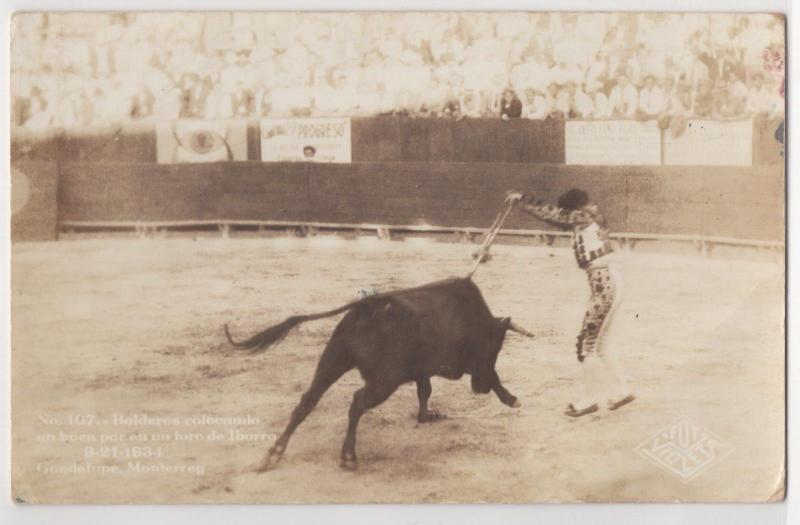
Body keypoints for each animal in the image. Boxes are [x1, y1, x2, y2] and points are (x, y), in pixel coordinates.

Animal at [223, 276, 532, 468]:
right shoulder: (456, 364)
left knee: (308, 400)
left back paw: (273, 454)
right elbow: (492, 375)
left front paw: (427, 416)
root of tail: (367, 305)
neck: (474, 320)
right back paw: (348, 456)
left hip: (333, 359)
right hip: (385, 380)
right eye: (496, 347)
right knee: (358, 402)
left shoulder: (423, 370)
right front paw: (511, 399)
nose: (479, 389)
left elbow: (425, 390)